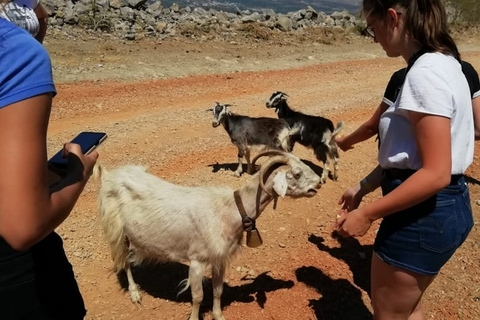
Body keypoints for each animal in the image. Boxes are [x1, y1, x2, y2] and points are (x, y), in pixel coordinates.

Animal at [94, 151, 320, 320]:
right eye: (297, 173)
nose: (318, 183)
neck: (228, 211)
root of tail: (109, 175)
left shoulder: (219, 259)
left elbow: (218, 290)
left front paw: (219, 315)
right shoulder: (197, 260)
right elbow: (197, 296)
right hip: (116, 229)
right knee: (124, 261)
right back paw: (135, 293)